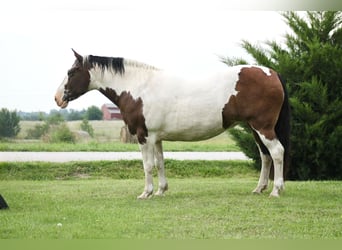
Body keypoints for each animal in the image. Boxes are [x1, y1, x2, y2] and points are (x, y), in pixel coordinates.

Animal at [54, 48, 290, 198]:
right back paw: (259, 188)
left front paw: (146, 193)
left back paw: (276, 190)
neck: (139, 87)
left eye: (71, 72)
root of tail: (272, 73)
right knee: (265, 155)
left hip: (263, 127)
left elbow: (147, 165)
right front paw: (161, 190)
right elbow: (160, 163)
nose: (57, 98)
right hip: (255, 128)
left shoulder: (144, 136)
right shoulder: (156, 138)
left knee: (277, 152)